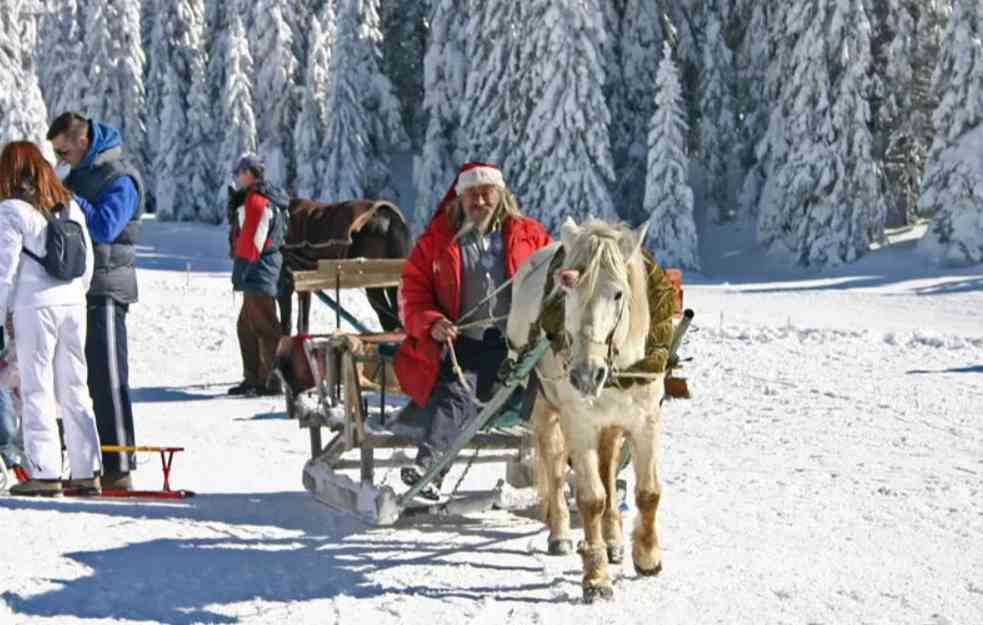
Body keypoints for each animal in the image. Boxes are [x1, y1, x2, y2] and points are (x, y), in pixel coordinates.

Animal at [508, 217, 676, 604]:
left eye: (618, 293)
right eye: (566, 292)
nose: (586, 374)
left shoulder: (645, 420)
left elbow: (647, 492)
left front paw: (646, 557)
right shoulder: (580, 422)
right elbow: (591, 498)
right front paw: (596, 577)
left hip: (611, 424)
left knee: (609, 468)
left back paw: (613, 541)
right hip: (544, 407)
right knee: (555, 466)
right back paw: (560, 534)